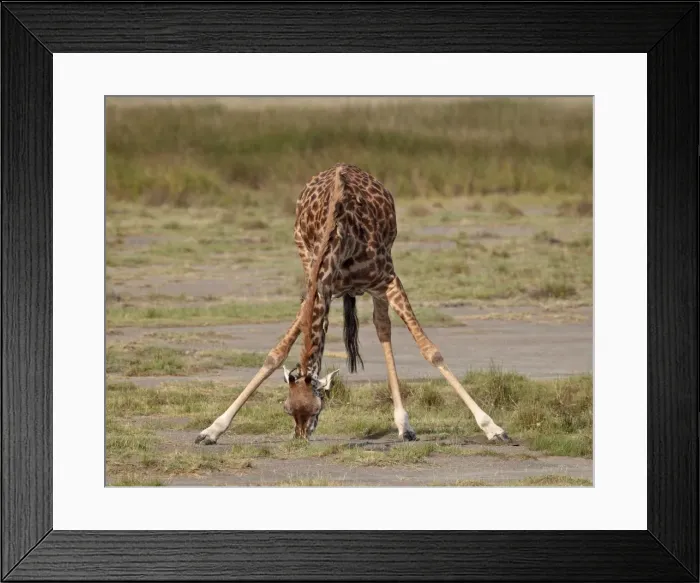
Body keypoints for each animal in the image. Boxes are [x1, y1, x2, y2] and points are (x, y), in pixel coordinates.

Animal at [195, 163, 511, 444]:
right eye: (286, 409)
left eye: (317, 409)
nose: (300, 438)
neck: (339, 238)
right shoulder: (317, 287)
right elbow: (275, 353)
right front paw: (211, 430)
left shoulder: (388, 279)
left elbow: (431, 351)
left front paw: (493, 428)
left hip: (380, 280)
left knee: (383, 328)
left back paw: (404, 425)